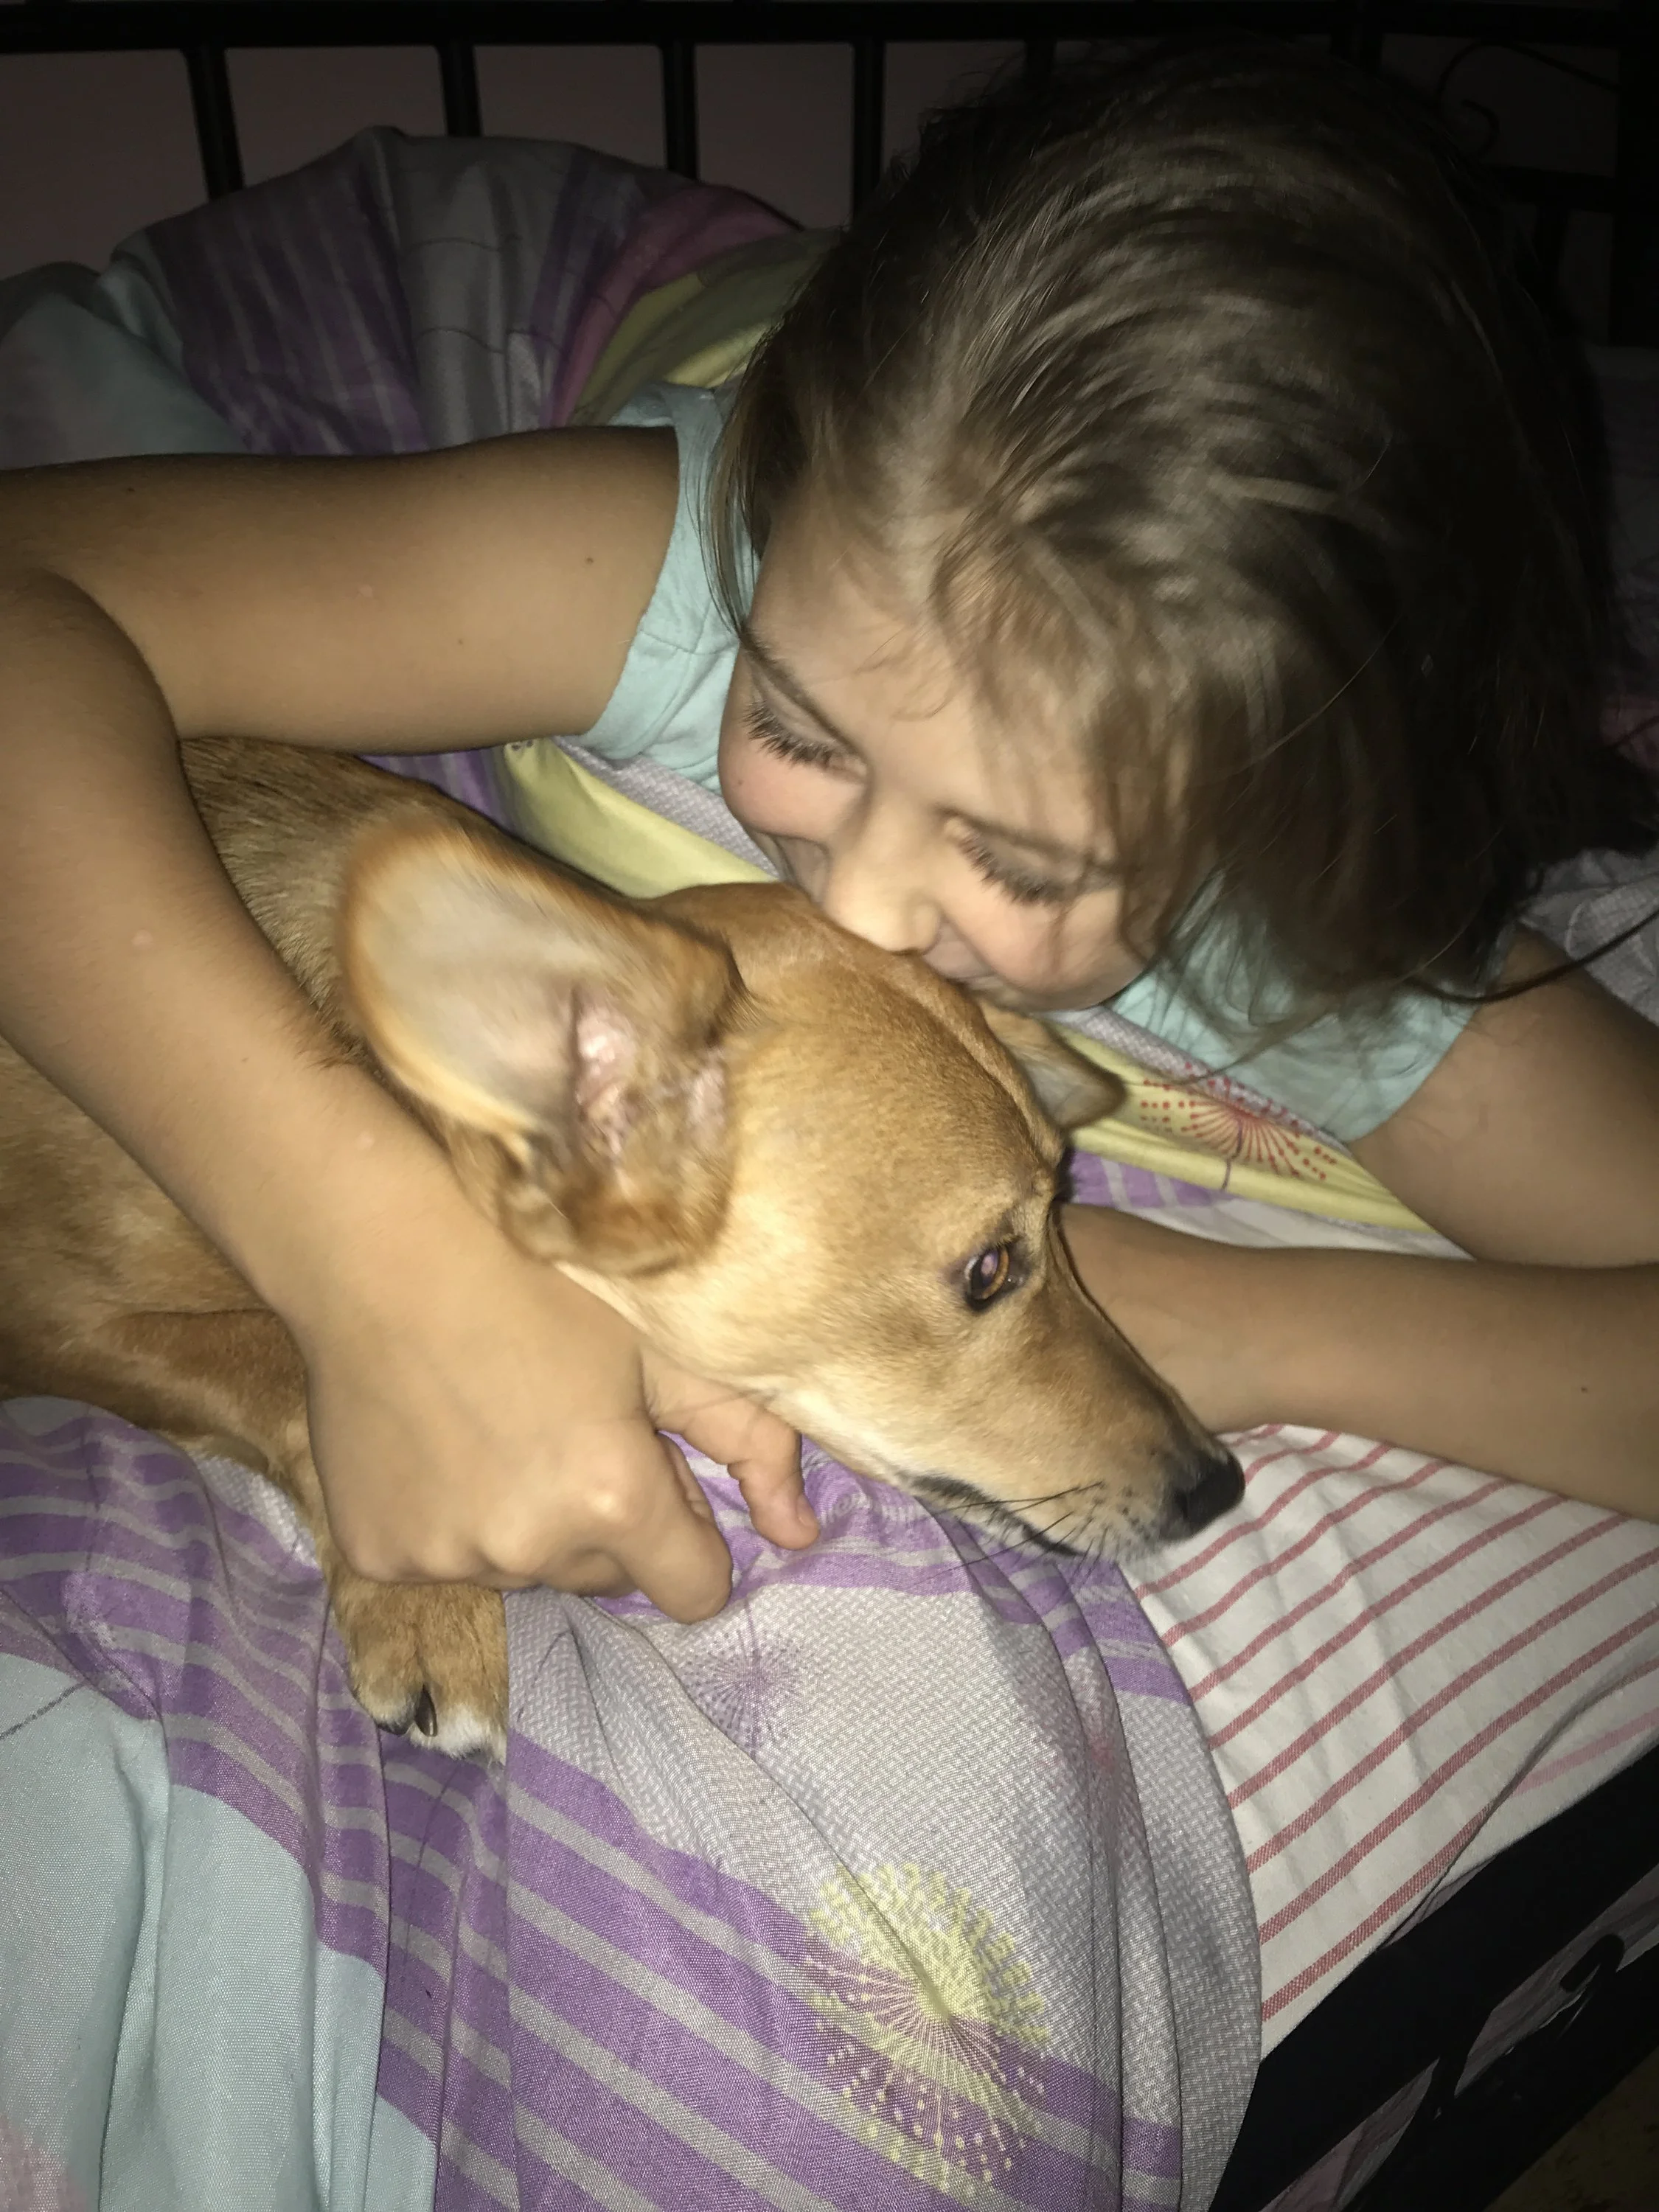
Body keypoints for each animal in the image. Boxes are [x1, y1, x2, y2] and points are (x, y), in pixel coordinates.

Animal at [0, 739, 1242, 1757]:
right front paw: (428, 1605)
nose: (1219, 1487)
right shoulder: (42, 1313)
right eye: (987, 1270)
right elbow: (273, 1362)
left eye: (1065, 1210)